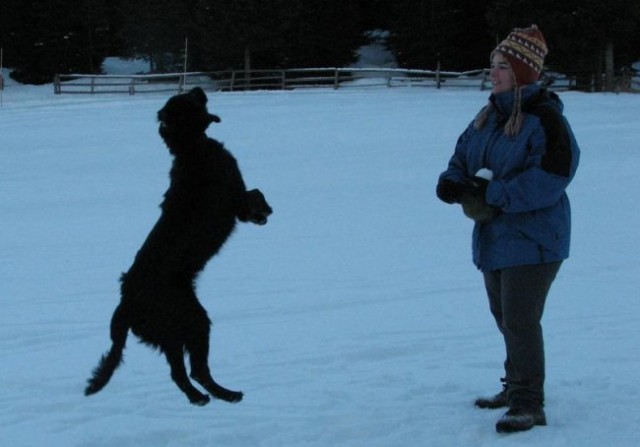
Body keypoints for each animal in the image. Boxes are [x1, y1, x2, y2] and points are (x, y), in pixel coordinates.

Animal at [84, 87, 270, 406]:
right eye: (188, 99)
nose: (198, 88)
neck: (192, 148)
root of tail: (126, 302)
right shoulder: (236, 199)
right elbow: (255, 192)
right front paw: (264, 212)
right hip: (186, 323)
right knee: (189, 371)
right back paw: (215, 395)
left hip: (179, 327)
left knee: (188, 372)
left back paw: (214, 395)